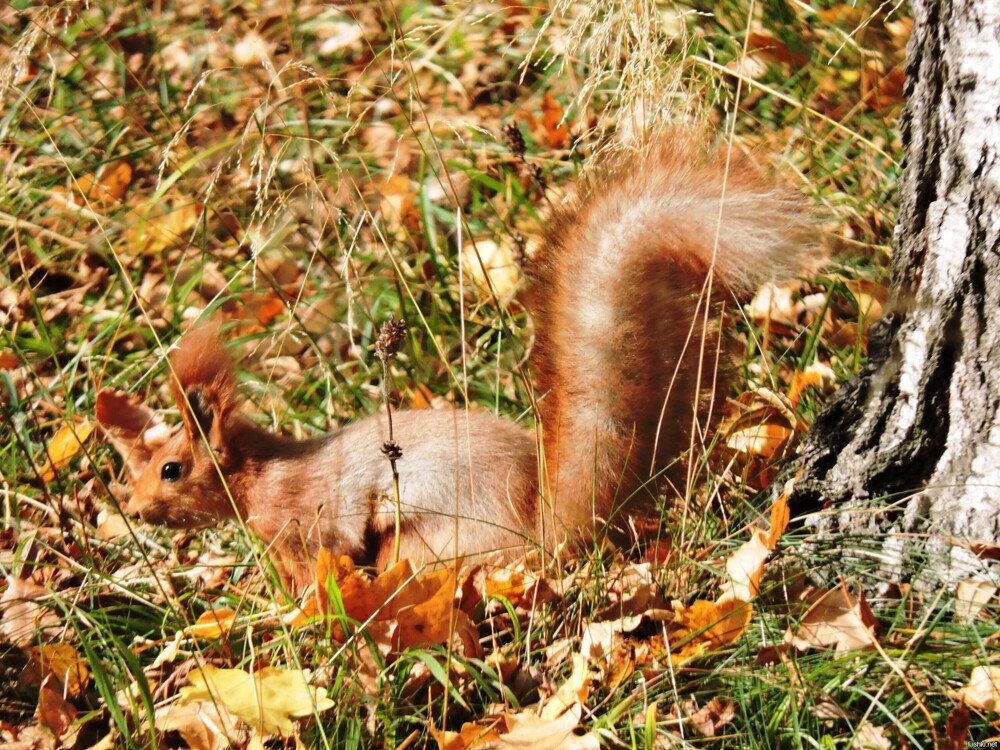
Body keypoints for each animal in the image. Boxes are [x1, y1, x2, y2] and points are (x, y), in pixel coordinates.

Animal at [94, 137, 812, 592]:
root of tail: (541, 533)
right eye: (133, 466)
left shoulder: (307, 527)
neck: (262, 476)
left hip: (420, 544)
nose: (136, 510)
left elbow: (315, 571)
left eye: (171, 468)